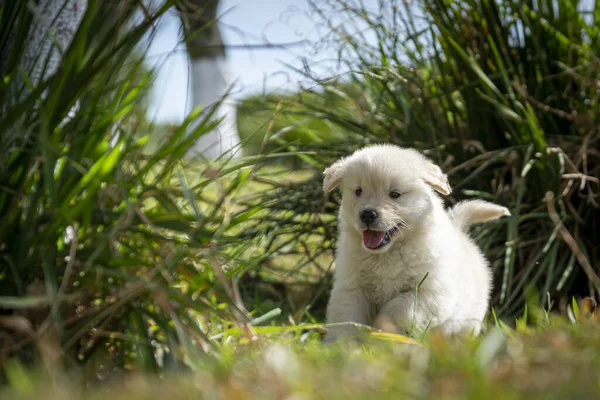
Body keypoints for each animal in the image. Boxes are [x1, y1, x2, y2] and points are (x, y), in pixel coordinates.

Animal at [326, 144, 508, 338]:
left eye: (395, 194)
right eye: (358, 192)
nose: (367, 214)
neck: (388, 253)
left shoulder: (430, 293)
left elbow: (395, 309)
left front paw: (381, 332)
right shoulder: (352, 288)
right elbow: (346, 319)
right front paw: (342, 343)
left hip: (468, 323)